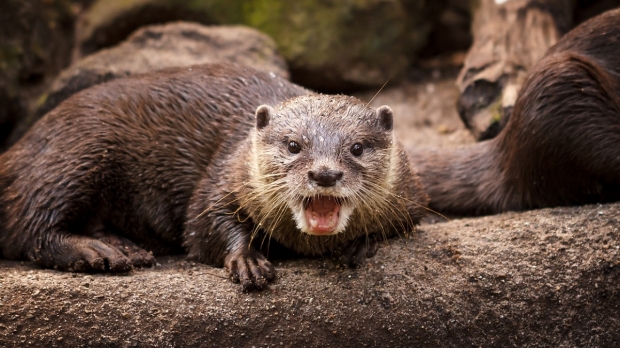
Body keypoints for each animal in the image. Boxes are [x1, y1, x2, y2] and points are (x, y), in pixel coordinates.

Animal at [0, 63, 428, 290]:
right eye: (293, 144)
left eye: (356, 147)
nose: (324, 173)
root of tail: (20, 146)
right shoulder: (223, 175)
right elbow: (203, 224)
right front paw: (247, 261)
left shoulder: (411, 195)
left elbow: (404, 222)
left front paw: (360, 244)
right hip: (74, 156)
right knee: (31, 225)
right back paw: (99, 252)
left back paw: (123, 247)